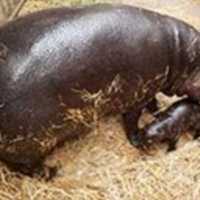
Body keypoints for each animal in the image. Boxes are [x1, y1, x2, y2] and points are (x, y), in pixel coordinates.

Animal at [0, 3, 200, 176]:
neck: (180, 54)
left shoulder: (152, 86)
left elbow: (152, 102)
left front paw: (157, 110)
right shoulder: (138, 95)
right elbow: (132, 120)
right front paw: (136, 138)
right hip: (30, 144)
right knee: (26, 167)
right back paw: (54, 171)